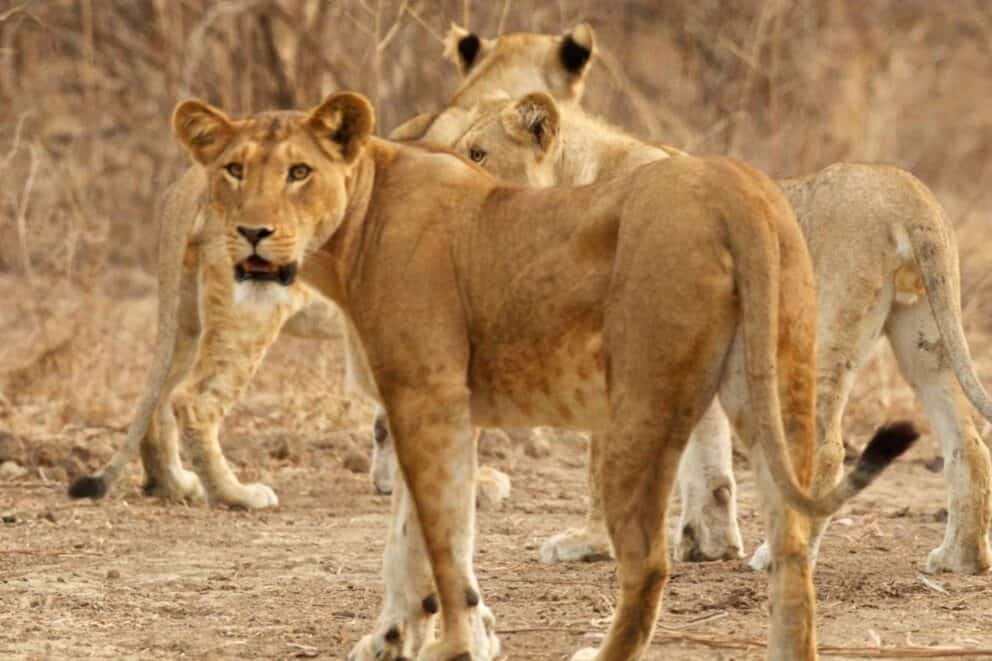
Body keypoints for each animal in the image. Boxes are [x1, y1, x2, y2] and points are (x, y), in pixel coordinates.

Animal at [68, 23, 597, 507]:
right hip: (247, 313)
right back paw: (236, 494)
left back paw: (176, 485)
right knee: (193, 400)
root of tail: (194, 183)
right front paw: (473, 483)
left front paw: (393, 480)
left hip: (186, 314)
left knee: (157, 400)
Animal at [164, 91, 915, 661]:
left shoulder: (429, 397)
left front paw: (455, 645)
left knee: (648, 565)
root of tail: (735, 187)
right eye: (233, 169)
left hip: (638, 409)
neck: (356, 228)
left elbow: (439, 541)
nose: (253, 233)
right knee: (793, 552)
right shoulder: (429, 405)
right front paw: (398, 637)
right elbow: (411, 541)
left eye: (298, 171)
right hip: (773, 390)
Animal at [429, 90, 992, 575]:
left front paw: (589, 542)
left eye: (478, 153)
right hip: (924, 339)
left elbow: (603, 458)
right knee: (966, 441)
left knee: (830, 451)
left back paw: (782, 554)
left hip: (823, 331)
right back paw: (960, 558)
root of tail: (909, 194)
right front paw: (708, 542)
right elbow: (707, 456)